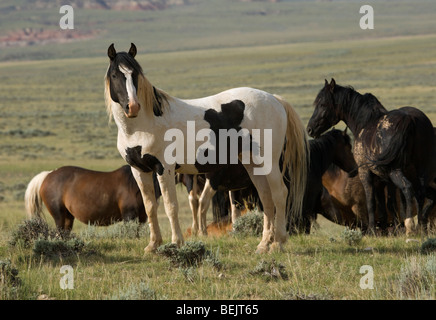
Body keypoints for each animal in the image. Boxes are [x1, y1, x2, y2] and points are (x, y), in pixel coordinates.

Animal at [23, 166, 160, 231]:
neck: (135, 184)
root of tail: (48, 175)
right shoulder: (129, 215)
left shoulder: (142, 217)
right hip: (59, 214)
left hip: (68, 216)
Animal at [104, 43, 310, 252]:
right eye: (115, 75)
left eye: (135, 74)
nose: (133, 107)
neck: (143, 125)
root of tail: (275, 100)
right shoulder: (140, 170)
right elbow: (150, 207)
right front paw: (153, 245)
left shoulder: (164, 168)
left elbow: (171, 206)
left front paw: (176, 242)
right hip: (254, 164)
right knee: (266, 197)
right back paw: (263, 244)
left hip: (269, 162)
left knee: (279, 194)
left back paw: (278, 242)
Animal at [306, 79, 436, 235]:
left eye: (322, 104)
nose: (310, 129)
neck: (365, 123)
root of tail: (410, 119)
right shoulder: (383, 180)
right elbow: (388, 204)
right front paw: (389, 229)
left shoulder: (366, 174)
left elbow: (371, 203)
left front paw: (373, 230)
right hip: (421, 171)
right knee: (421, 195)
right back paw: (421, 227)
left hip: (397, 172)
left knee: (408, 189)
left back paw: (410, 226)